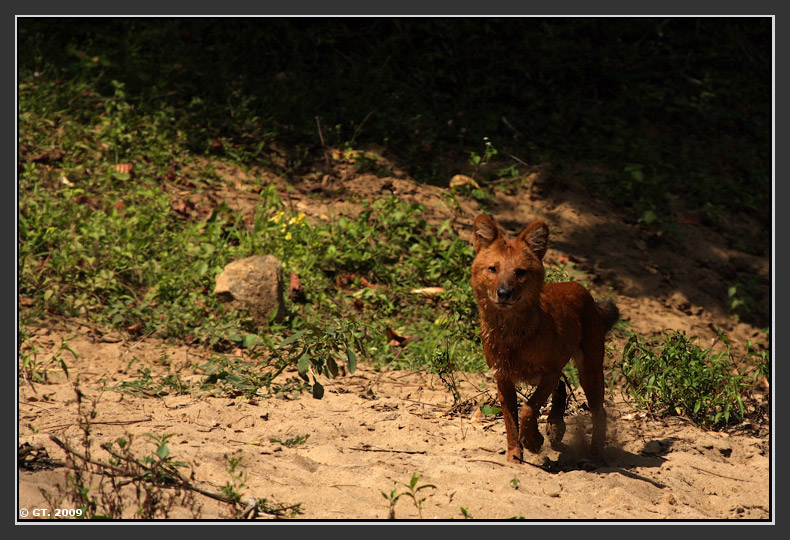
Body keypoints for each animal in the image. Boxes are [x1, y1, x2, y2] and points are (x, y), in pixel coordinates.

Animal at [474, 216, 620, 464]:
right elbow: (510, 421)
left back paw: (593, 454)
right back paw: (555, 427)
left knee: (599, 411)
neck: (511, 334)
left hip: (589, 371)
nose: (504, 293)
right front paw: (515, 454)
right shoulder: (502, 377)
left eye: (520, 272)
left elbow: (528, 408)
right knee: (561, 388)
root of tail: (579, 287)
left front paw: (533, 441)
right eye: (493, 269)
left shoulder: (549, 371)